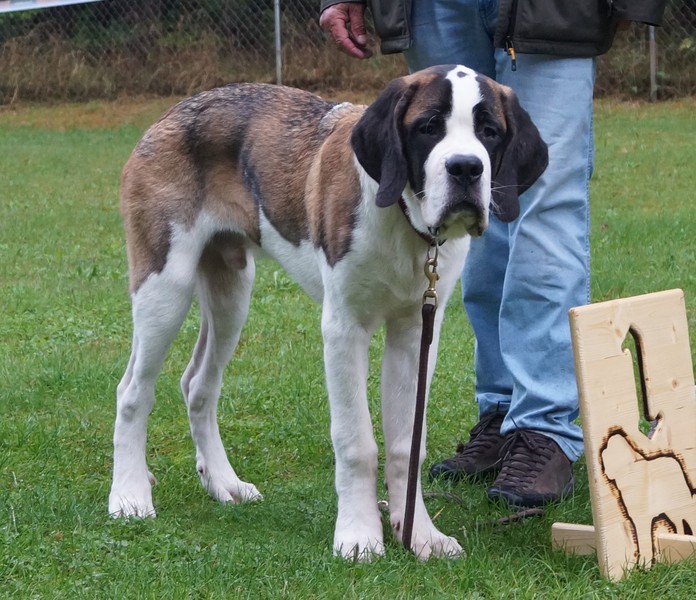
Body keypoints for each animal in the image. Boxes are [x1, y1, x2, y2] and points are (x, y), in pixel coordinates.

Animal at [108, 64, 548, 560]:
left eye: (489, 132)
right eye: (428, 127)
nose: (467, 167)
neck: (403, 219)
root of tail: (172, 113)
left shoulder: (416, 331)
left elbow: (406, 443)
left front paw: (419, 533)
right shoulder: (343, 329)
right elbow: (355, 441)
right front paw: (358, 535)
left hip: (231, 290)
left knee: (199, 384)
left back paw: (224, 483)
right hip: (165, 286)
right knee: (133, 390)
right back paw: (129, 495)